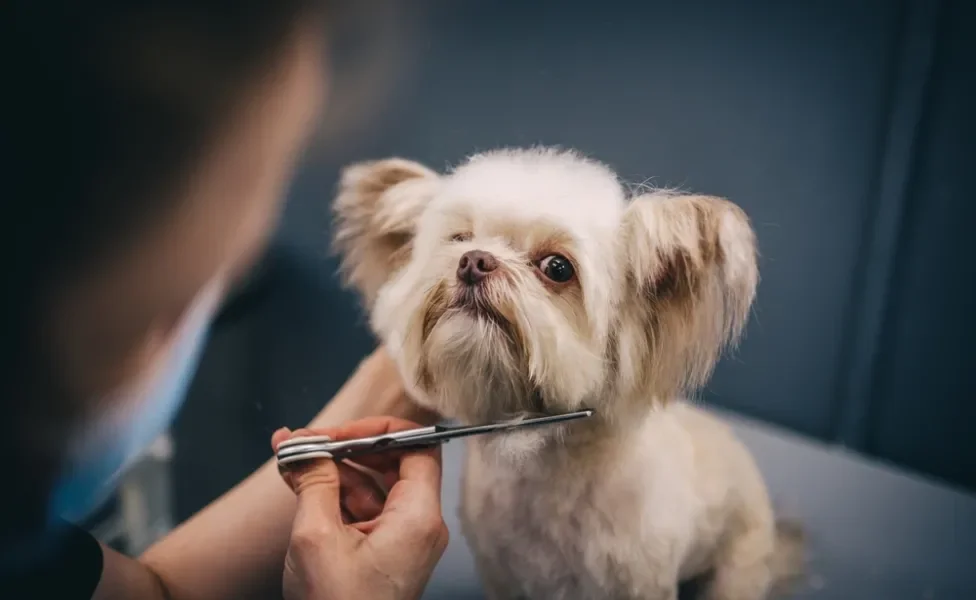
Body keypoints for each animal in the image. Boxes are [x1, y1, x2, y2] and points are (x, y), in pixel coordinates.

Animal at [332, 146, 804, 600]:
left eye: (557, 268)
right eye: (459, 238)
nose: (473, 260)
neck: (541, 473)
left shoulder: (639, 584)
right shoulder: (502, 579)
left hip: (737, 570)